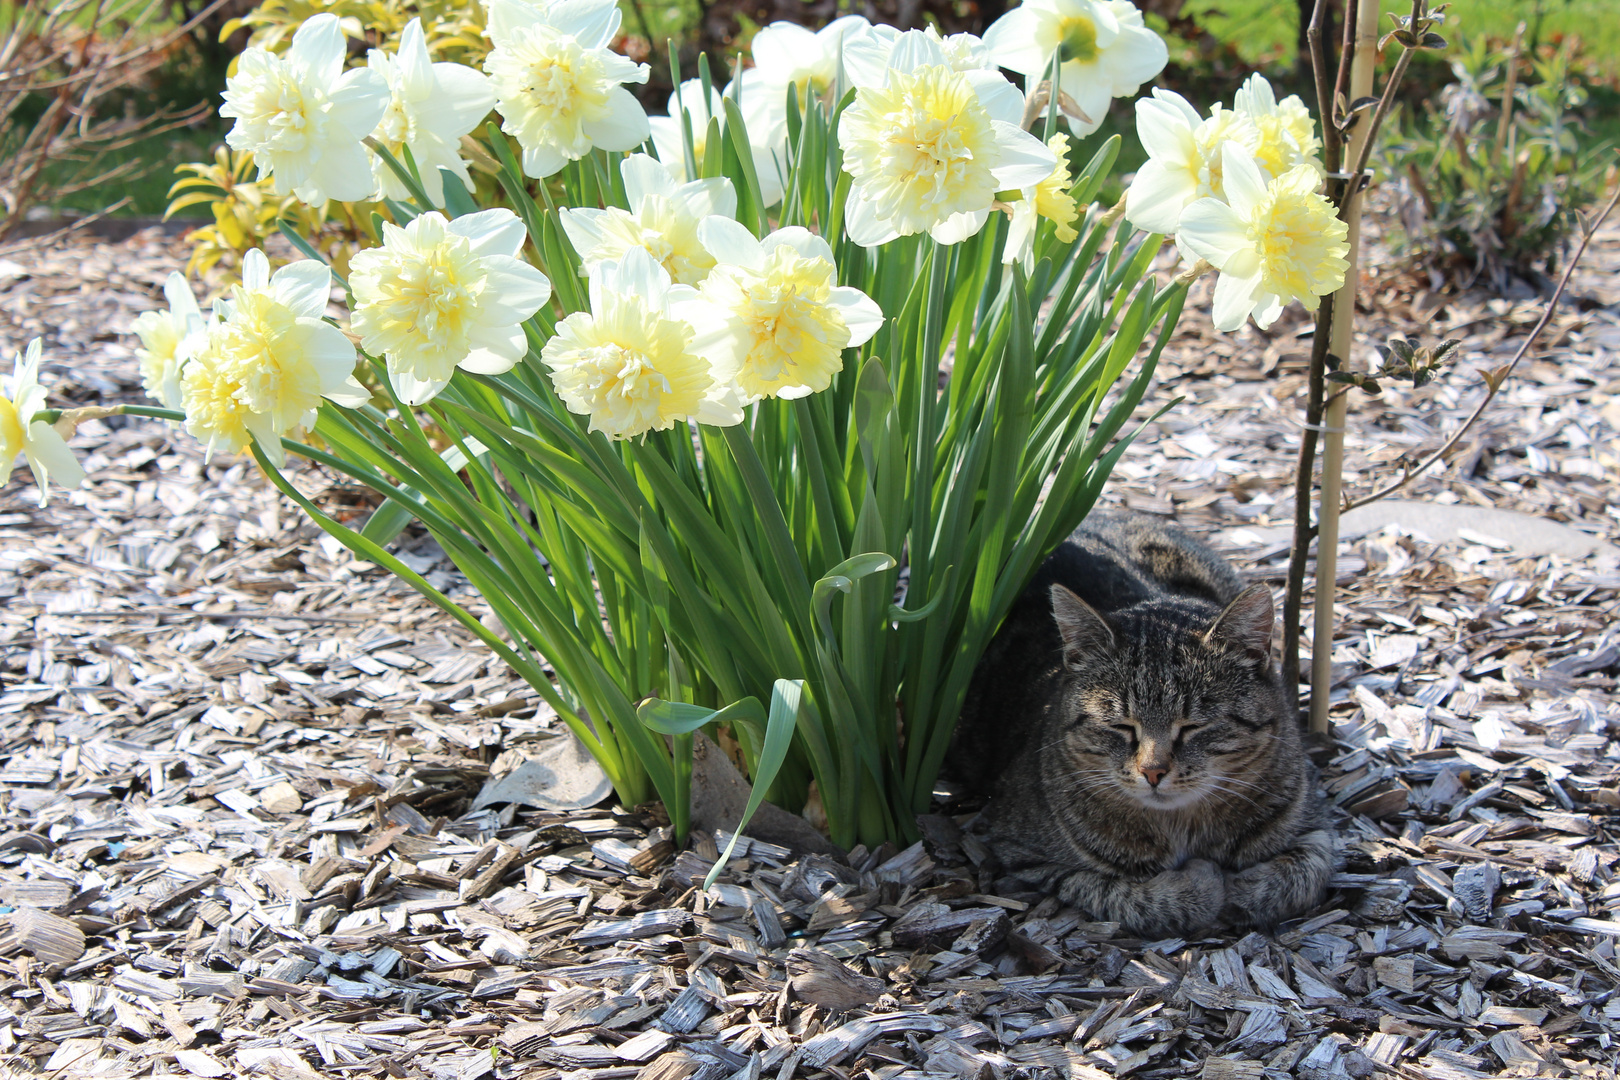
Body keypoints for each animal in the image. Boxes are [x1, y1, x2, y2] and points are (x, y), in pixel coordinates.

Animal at [946, 511, 1328, 932]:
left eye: (1193, 726)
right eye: (1121, 726)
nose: (1153, 771)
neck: (1180, 827)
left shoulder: (1316, 824)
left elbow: (1300, 875)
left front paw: (1240, 888)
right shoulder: (1024, 855)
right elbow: (1130, 896)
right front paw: (1205, 882)